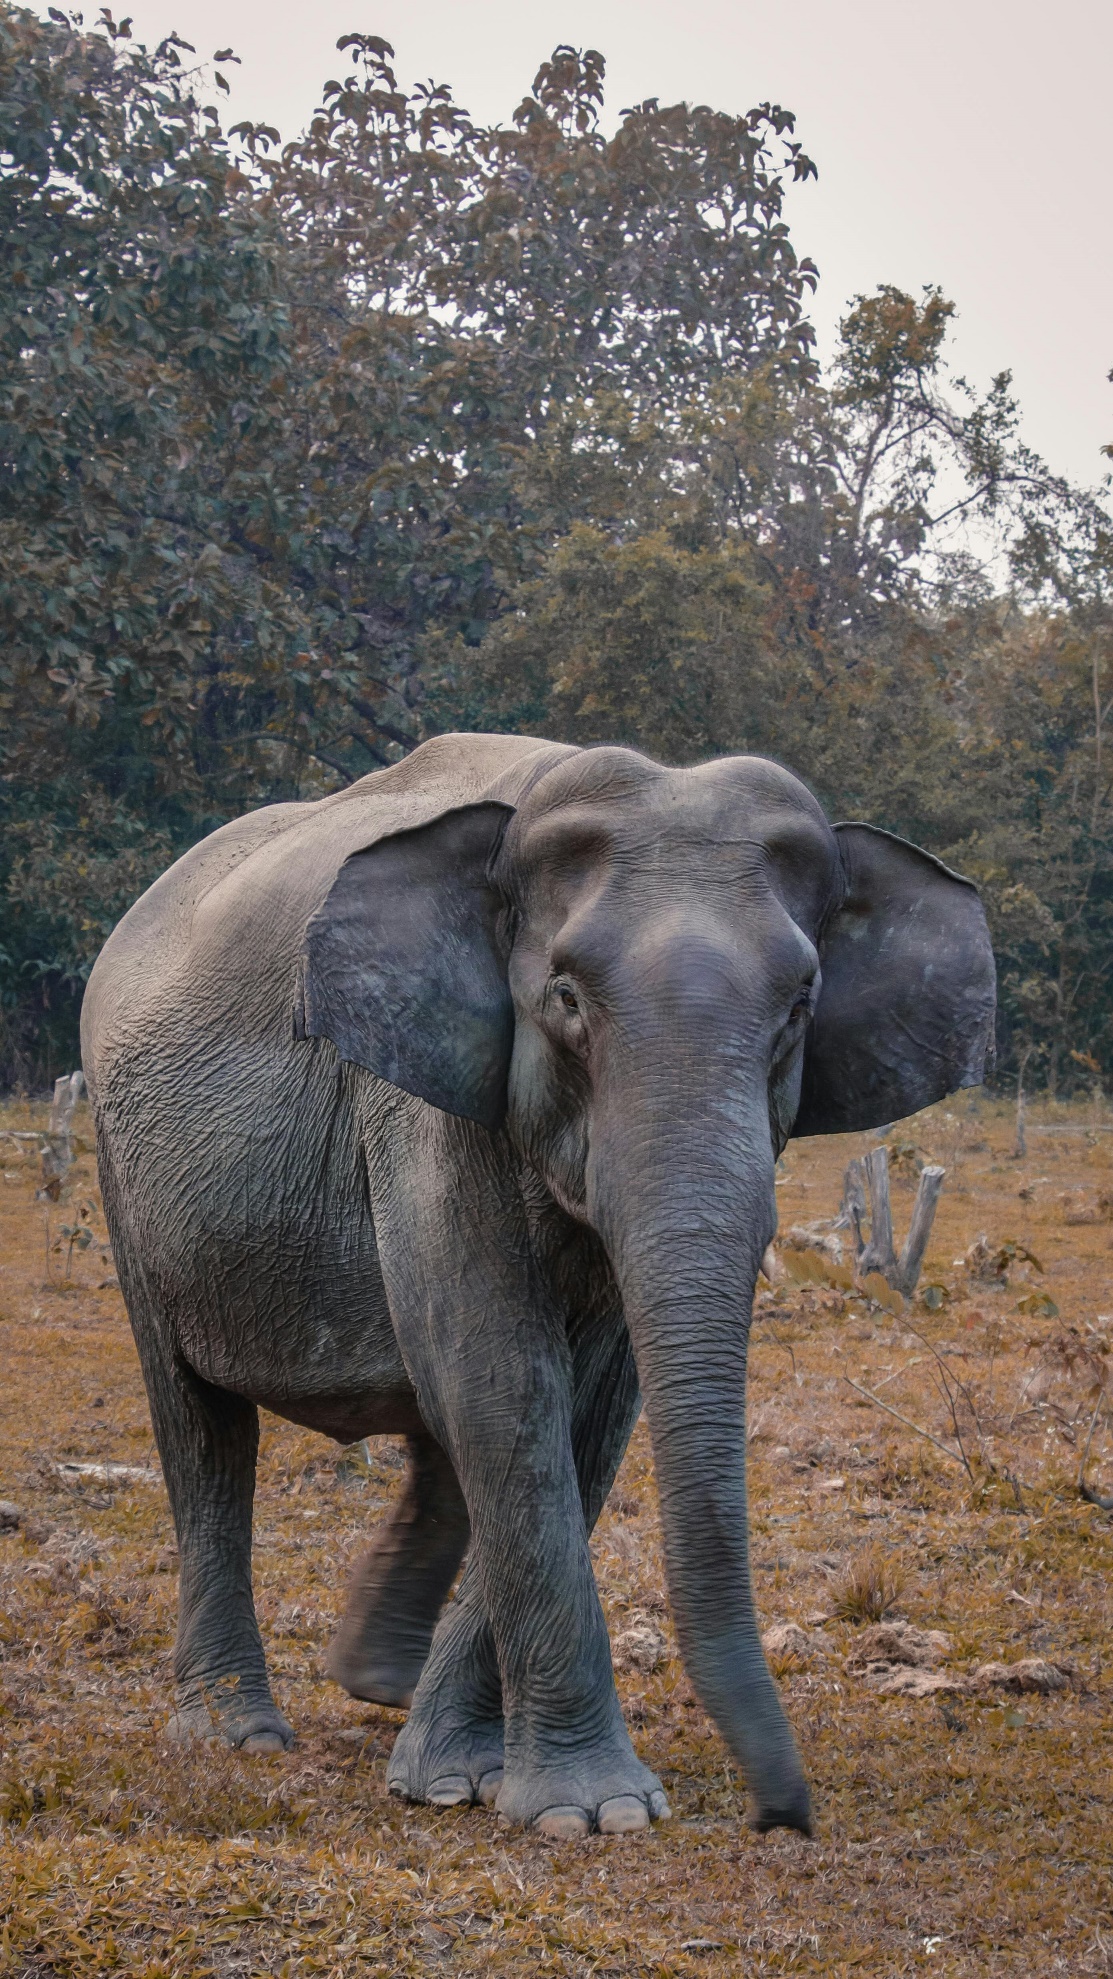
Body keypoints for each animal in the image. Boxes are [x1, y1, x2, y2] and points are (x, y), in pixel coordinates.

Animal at [81, 731, 995, 1838]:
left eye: (799, 1008)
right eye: (565, 999)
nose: (782, 1817)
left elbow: (588, 1404)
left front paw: (458, 1780)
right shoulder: (414, 1100)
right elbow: (503, 1374)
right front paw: (592, 1813)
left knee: (430, 1435)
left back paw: (380, 1682)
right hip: (123, 1172)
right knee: (201, 1422)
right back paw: (239, 1733)